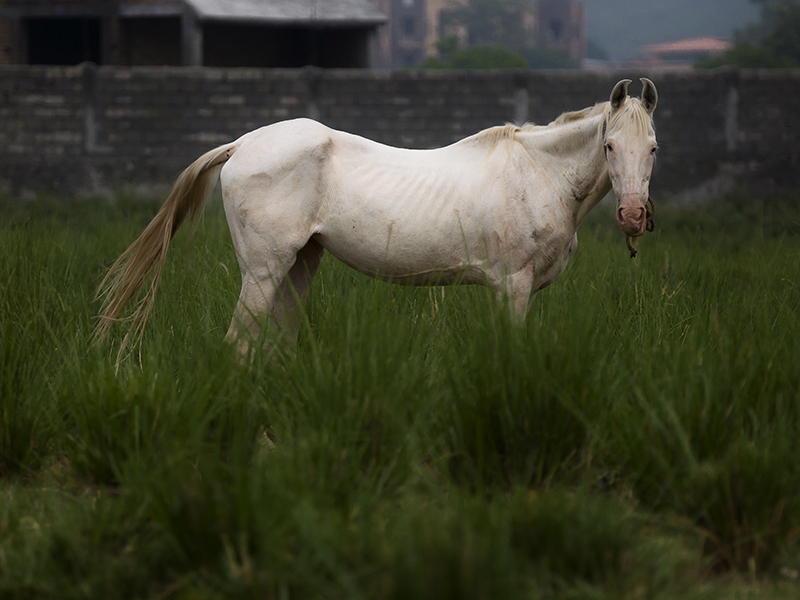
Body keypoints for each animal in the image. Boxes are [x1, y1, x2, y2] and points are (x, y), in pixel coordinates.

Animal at [95, 77, 656, 358]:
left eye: (652, 147)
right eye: (609, 145)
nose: (632, 216)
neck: (540, 173)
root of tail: (241, 144)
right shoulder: (511, 286)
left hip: (300, 264)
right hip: (263, 268)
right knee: (239, 342)